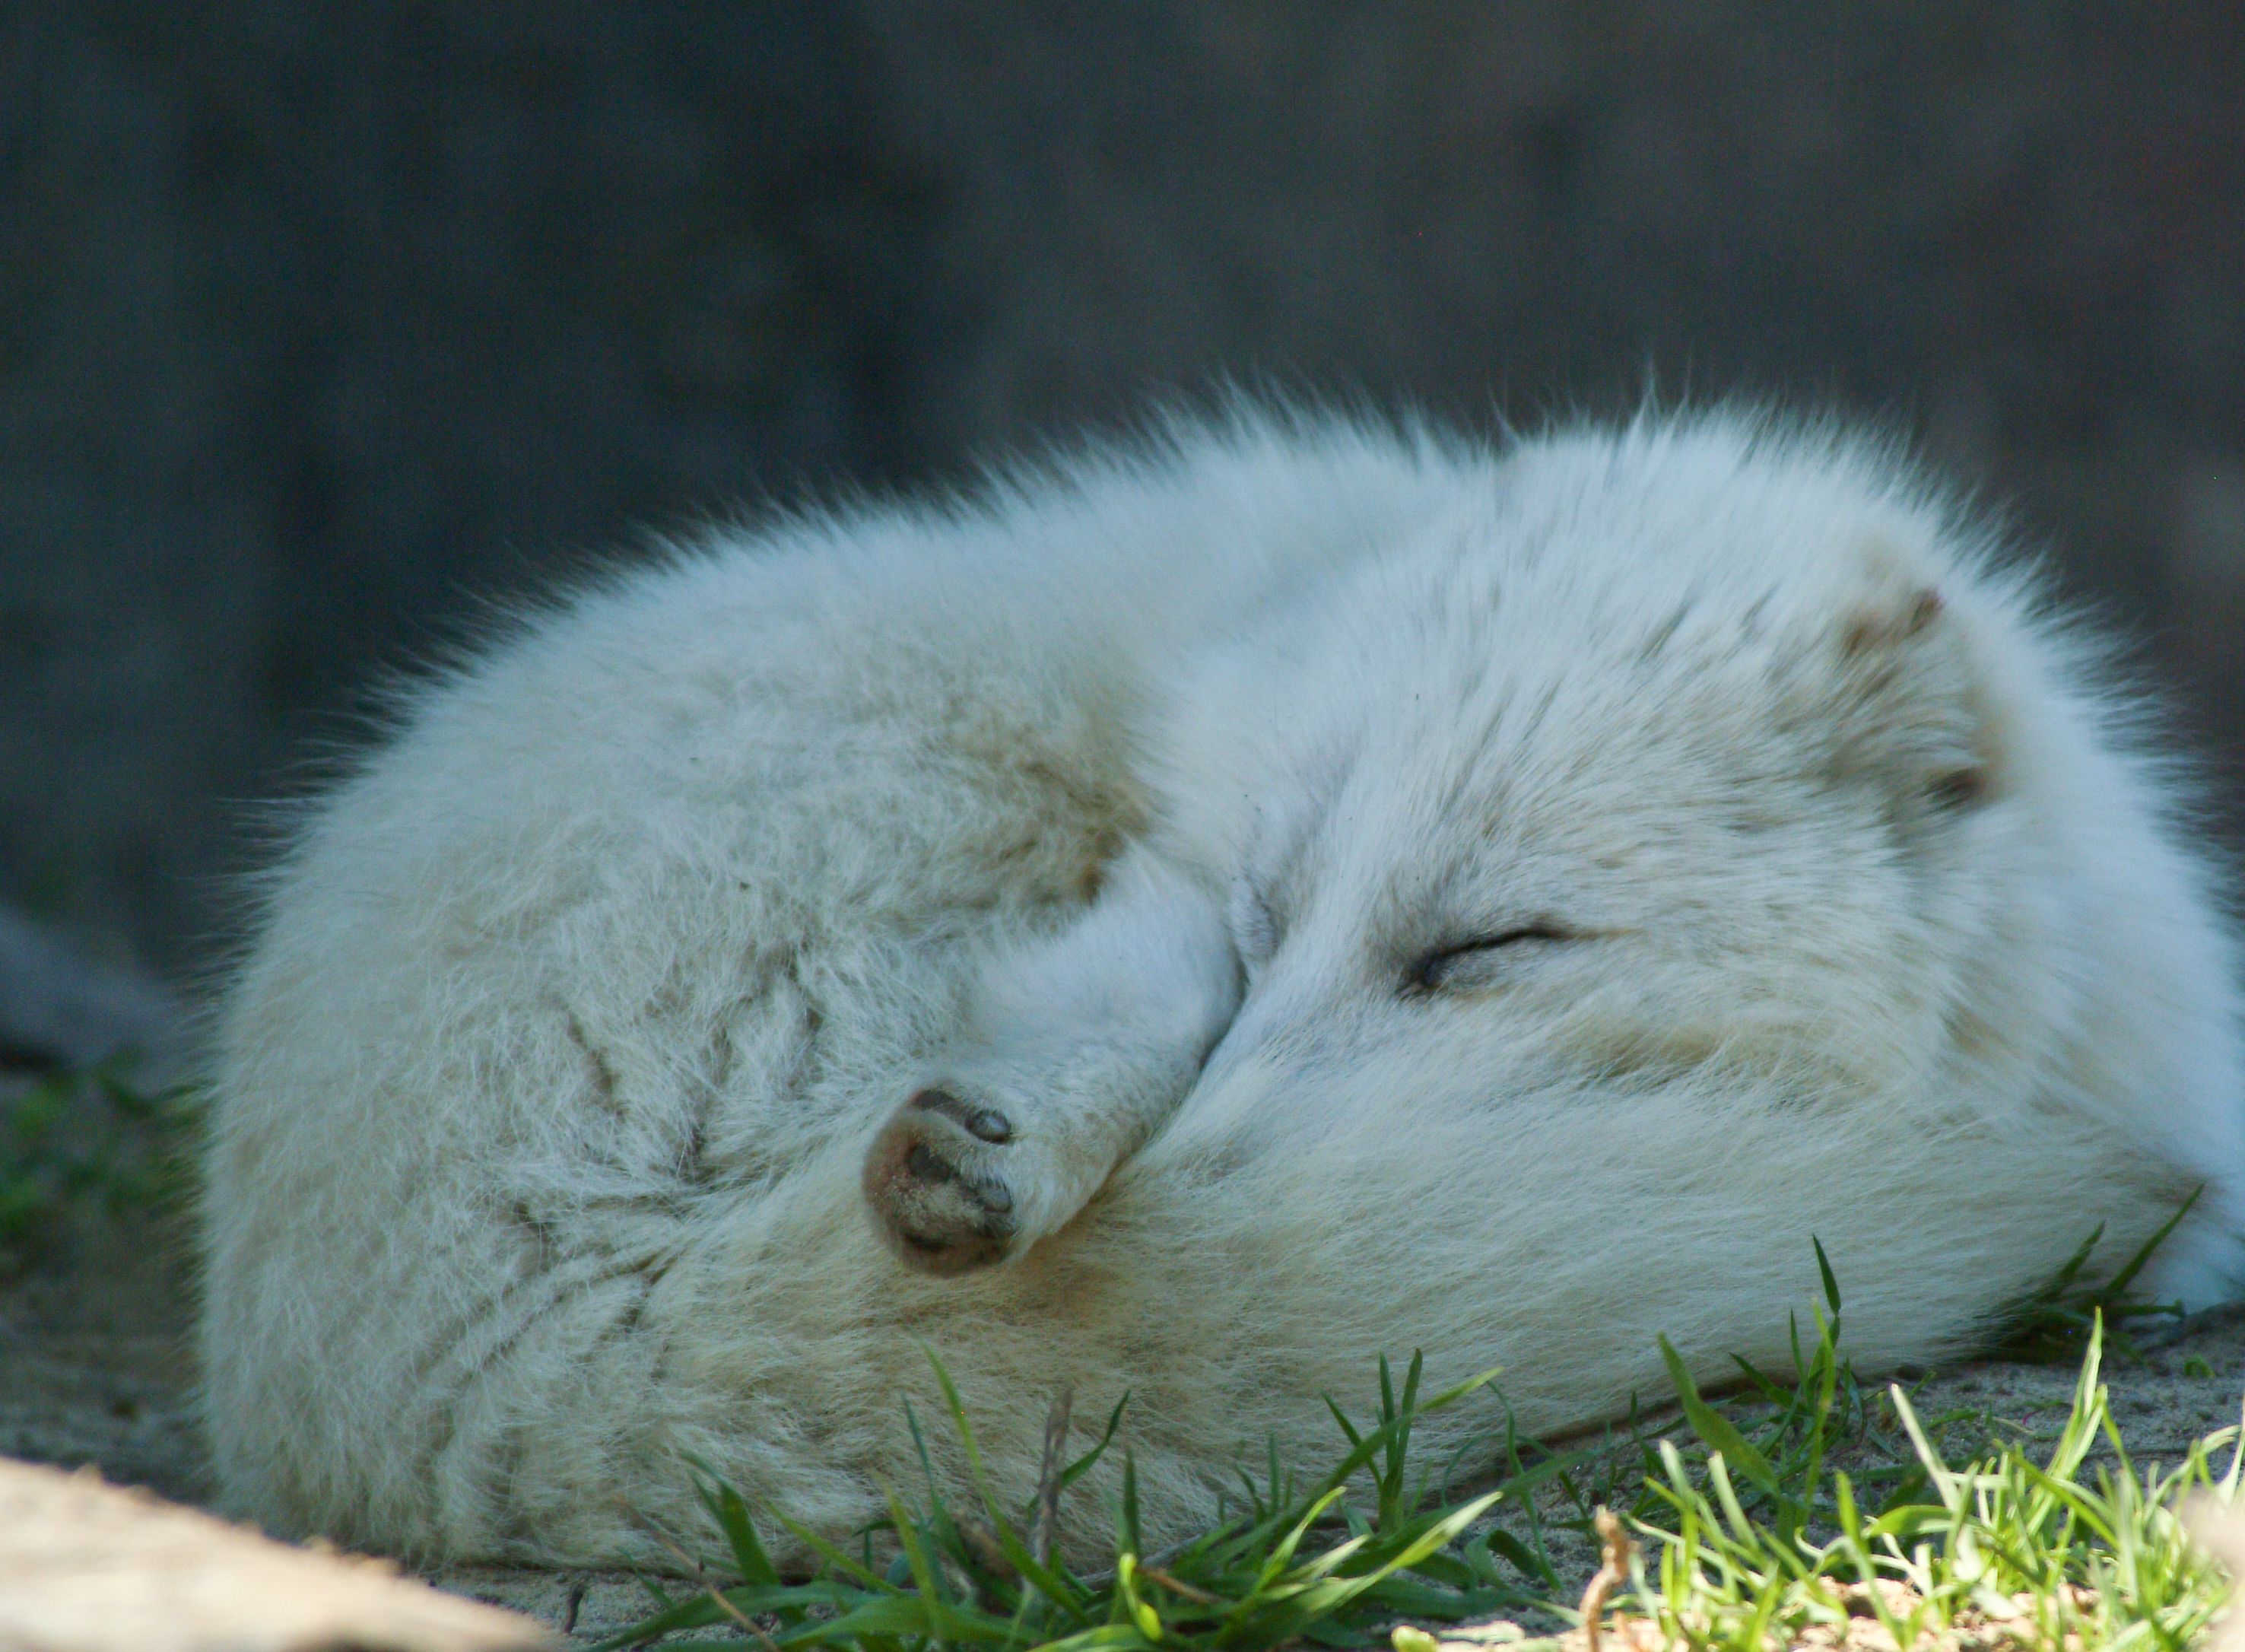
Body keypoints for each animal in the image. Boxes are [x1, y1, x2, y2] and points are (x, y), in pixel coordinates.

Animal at [198, 404, 2245, 1568]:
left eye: (1484, 951)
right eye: (1272, 916)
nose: (1229, 1149)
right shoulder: (1170, 886)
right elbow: (1125, 1002)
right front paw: (1006, 1139)